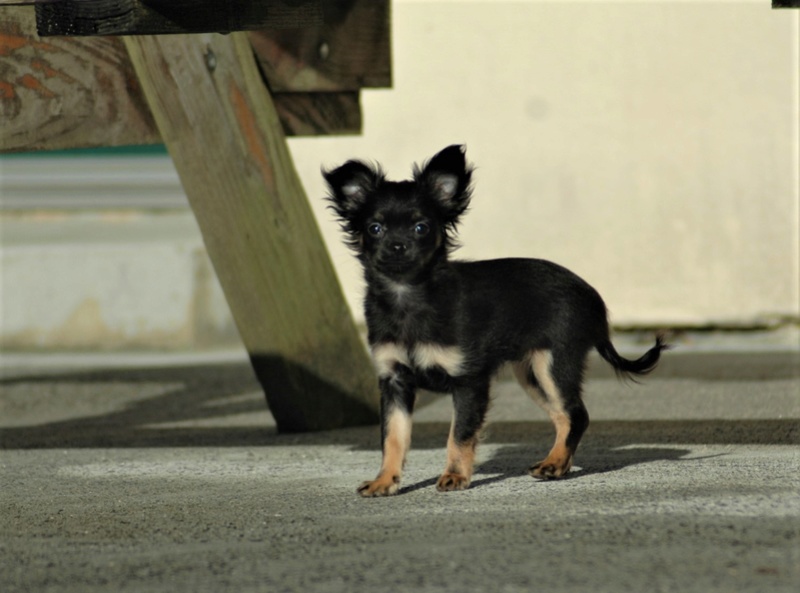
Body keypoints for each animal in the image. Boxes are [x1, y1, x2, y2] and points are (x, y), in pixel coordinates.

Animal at [322, 143, 664, 494]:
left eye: (421, 228)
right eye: (374, 229)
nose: (397, 245)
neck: (408, 294)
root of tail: (593, 298)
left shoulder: (469, 381)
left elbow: (458, 434)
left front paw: (455, 476)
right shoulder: (394, 382)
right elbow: (393, 436)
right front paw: (385, 481)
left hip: (553, 364)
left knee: (576, 413)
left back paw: (555, 464)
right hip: (531, 373)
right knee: (565, 415)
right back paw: (558, 463)